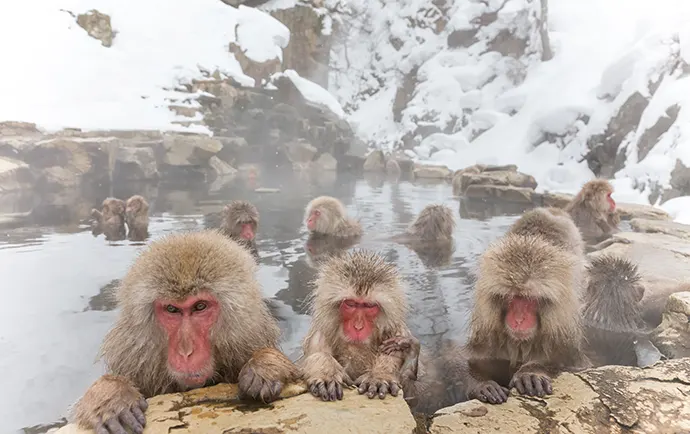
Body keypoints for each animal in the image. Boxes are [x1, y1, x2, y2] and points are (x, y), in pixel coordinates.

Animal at [461, 233, 590, 404]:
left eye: (529, 299)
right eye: (513, 297)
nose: (519, 320)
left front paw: (531, 373)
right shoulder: (487, 341)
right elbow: (472, 362)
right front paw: (482, 384)